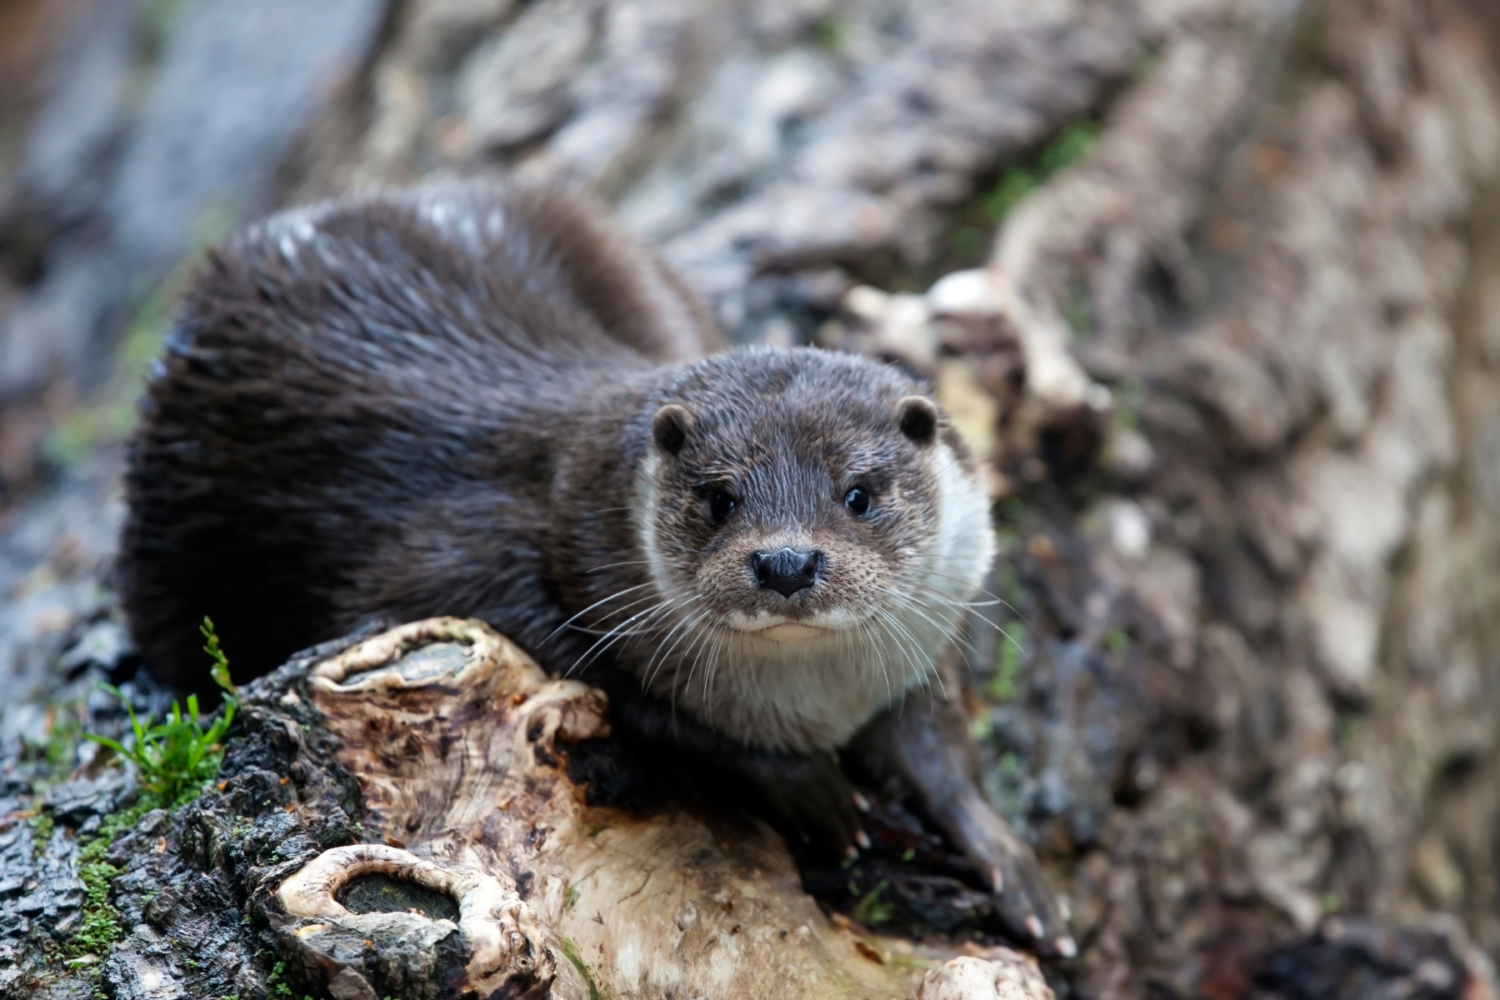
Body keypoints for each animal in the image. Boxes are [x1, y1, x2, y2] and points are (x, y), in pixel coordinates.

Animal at [123, 183, 1074, 959]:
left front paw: (1013, 864)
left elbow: (942, 744)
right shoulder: (502, 577)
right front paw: (816, 792)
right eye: (719, 498)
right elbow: (647, 704)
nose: (786, 561)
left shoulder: (924, 645)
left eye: (859, 494)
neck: (816, 699)